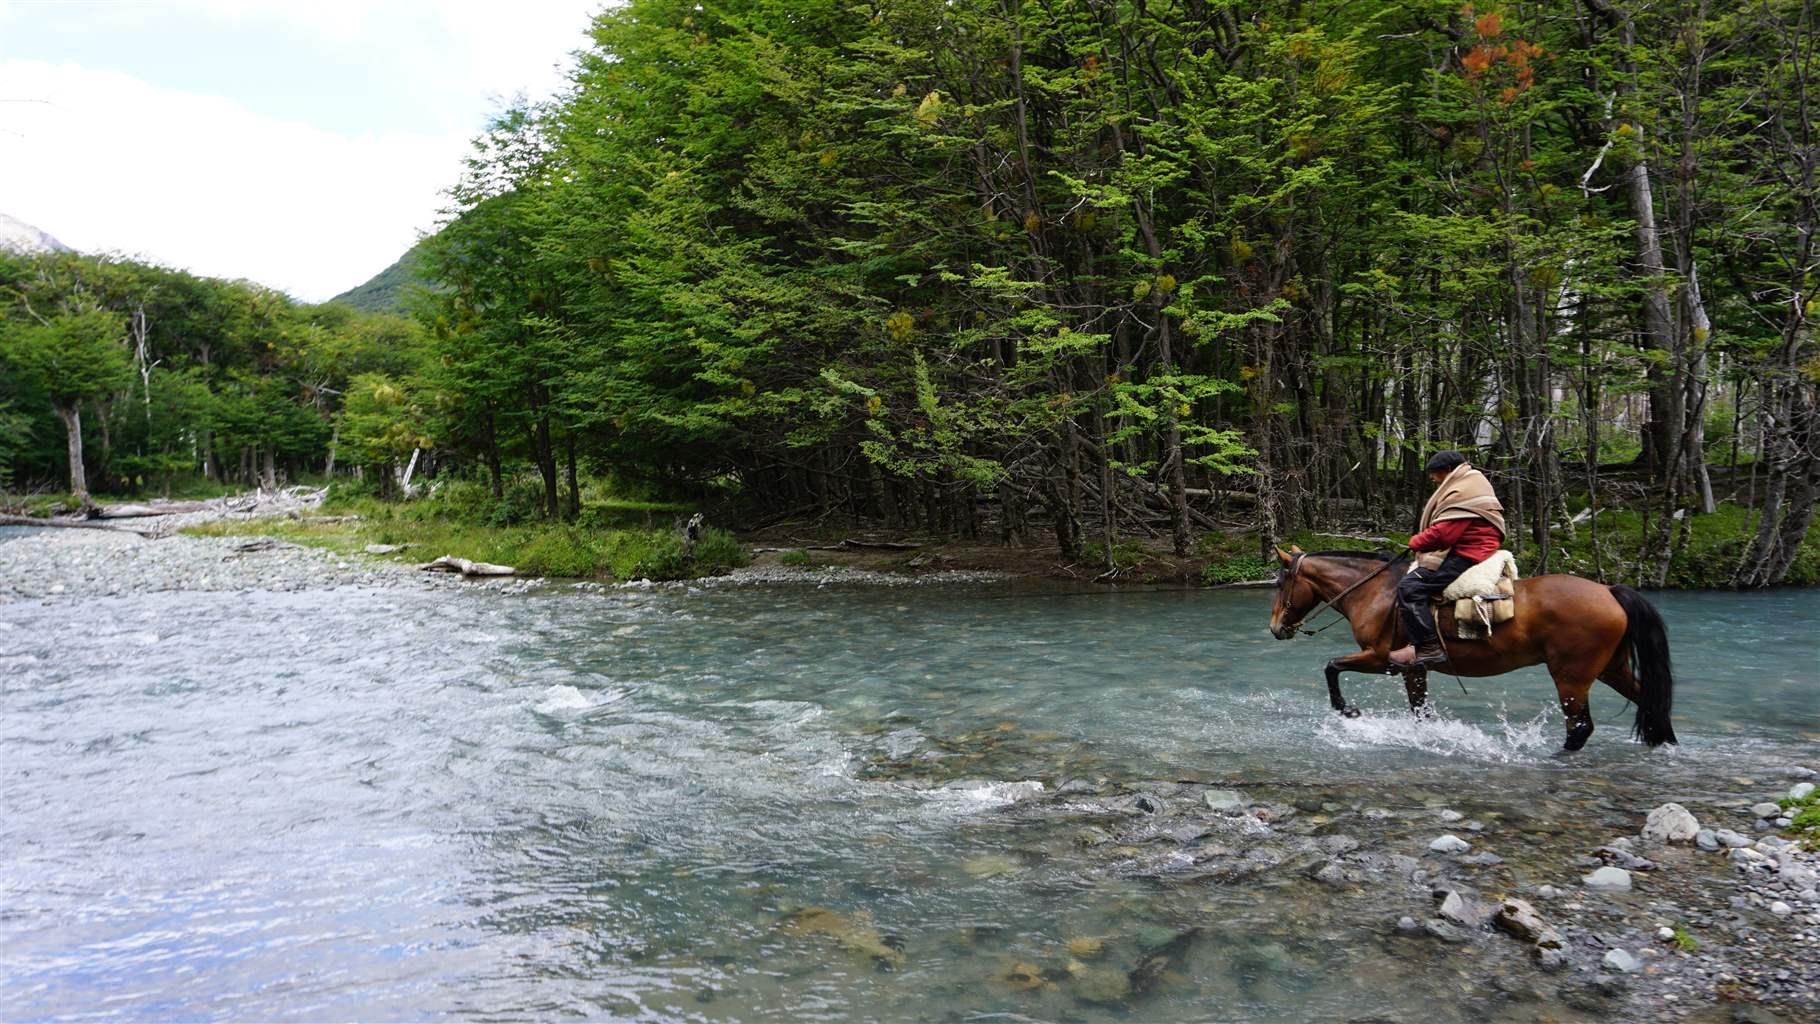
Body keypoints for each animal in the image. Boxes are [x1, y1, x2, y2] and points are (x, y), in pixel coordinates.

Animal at [1266, 545, 1674, 752]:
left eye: (1282, 583)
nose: (1275, 628)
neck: (1374, 591)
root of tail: (1609, 591)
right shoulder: (1414, 668)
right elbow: (1420, 711)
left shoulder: (1382, 659)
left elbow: (1331, 666)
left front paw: (1347, 710)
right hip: (1610, 669)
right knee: (1651, 703)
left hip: (1571, 677)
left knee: (1581, 727)